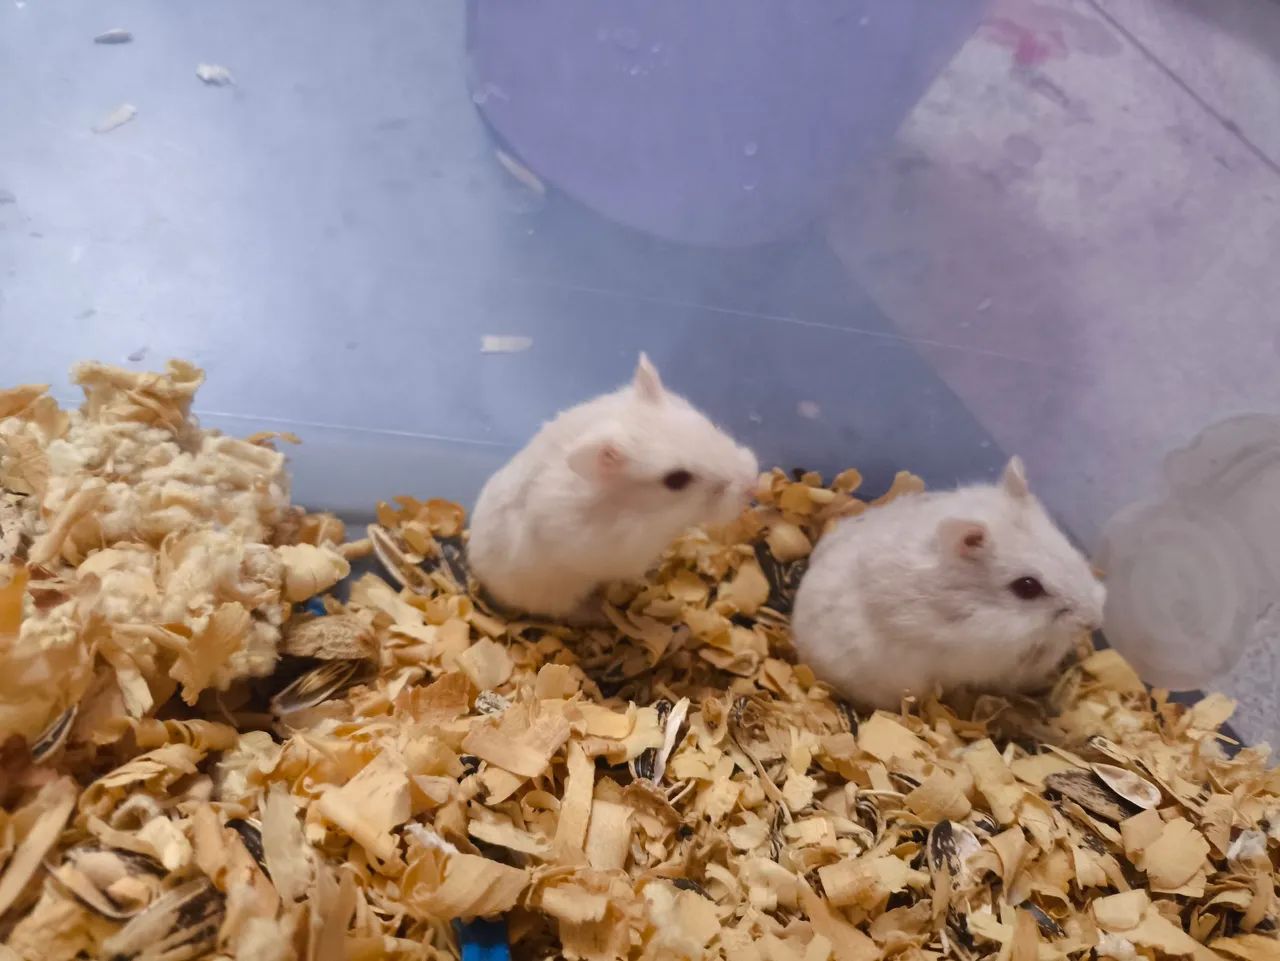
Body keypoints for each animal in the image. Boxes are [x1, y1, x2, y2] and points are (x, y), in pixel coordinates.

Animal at [467, 354, 759, 619]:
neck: (651, 515)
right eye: (676, 480)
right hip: (557, 595)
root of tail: (476, 568)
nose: (752, 485)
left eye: (709, 425)